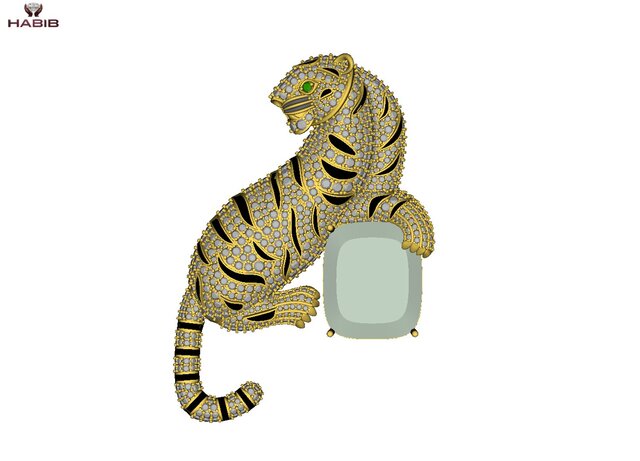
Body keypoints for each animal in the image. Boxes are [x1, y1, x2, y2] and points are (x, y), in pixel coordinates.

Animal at [174, 53, 435, 423]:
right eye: (280, 95)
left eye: (308, 85)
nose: (278, 103)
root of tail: (192, 282)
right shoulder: (346, 208)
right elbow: (387, 202)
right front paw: (419, 232)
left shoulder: (376, 180)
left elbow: (394, 195)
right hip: (247, 278)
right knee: (234, 316)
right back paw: (297, 304)